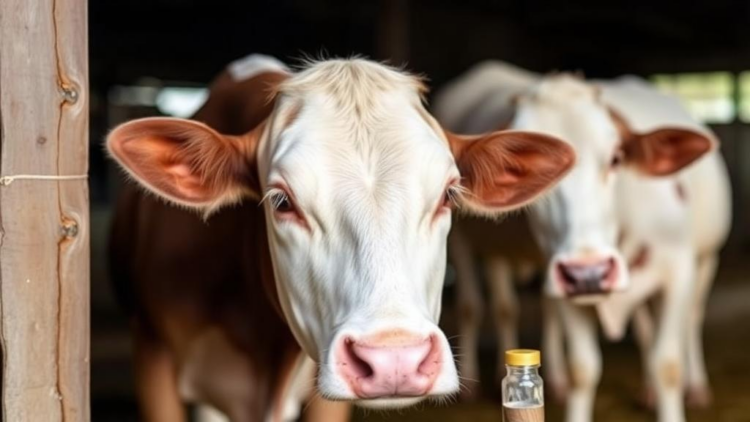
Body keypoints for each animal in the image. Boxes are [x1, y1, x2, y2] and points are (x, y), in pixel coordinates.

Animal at [433, 61, 731, 422]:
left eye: (616, 157)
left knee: (692, 319)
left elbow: (668, 364)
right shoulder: (564, 281)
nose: (590, 272)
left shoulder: (678, 272)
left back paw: (694, 386)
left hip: (707, 258)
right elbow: (583, 369)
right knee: (480, 306)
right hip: (466, 244)